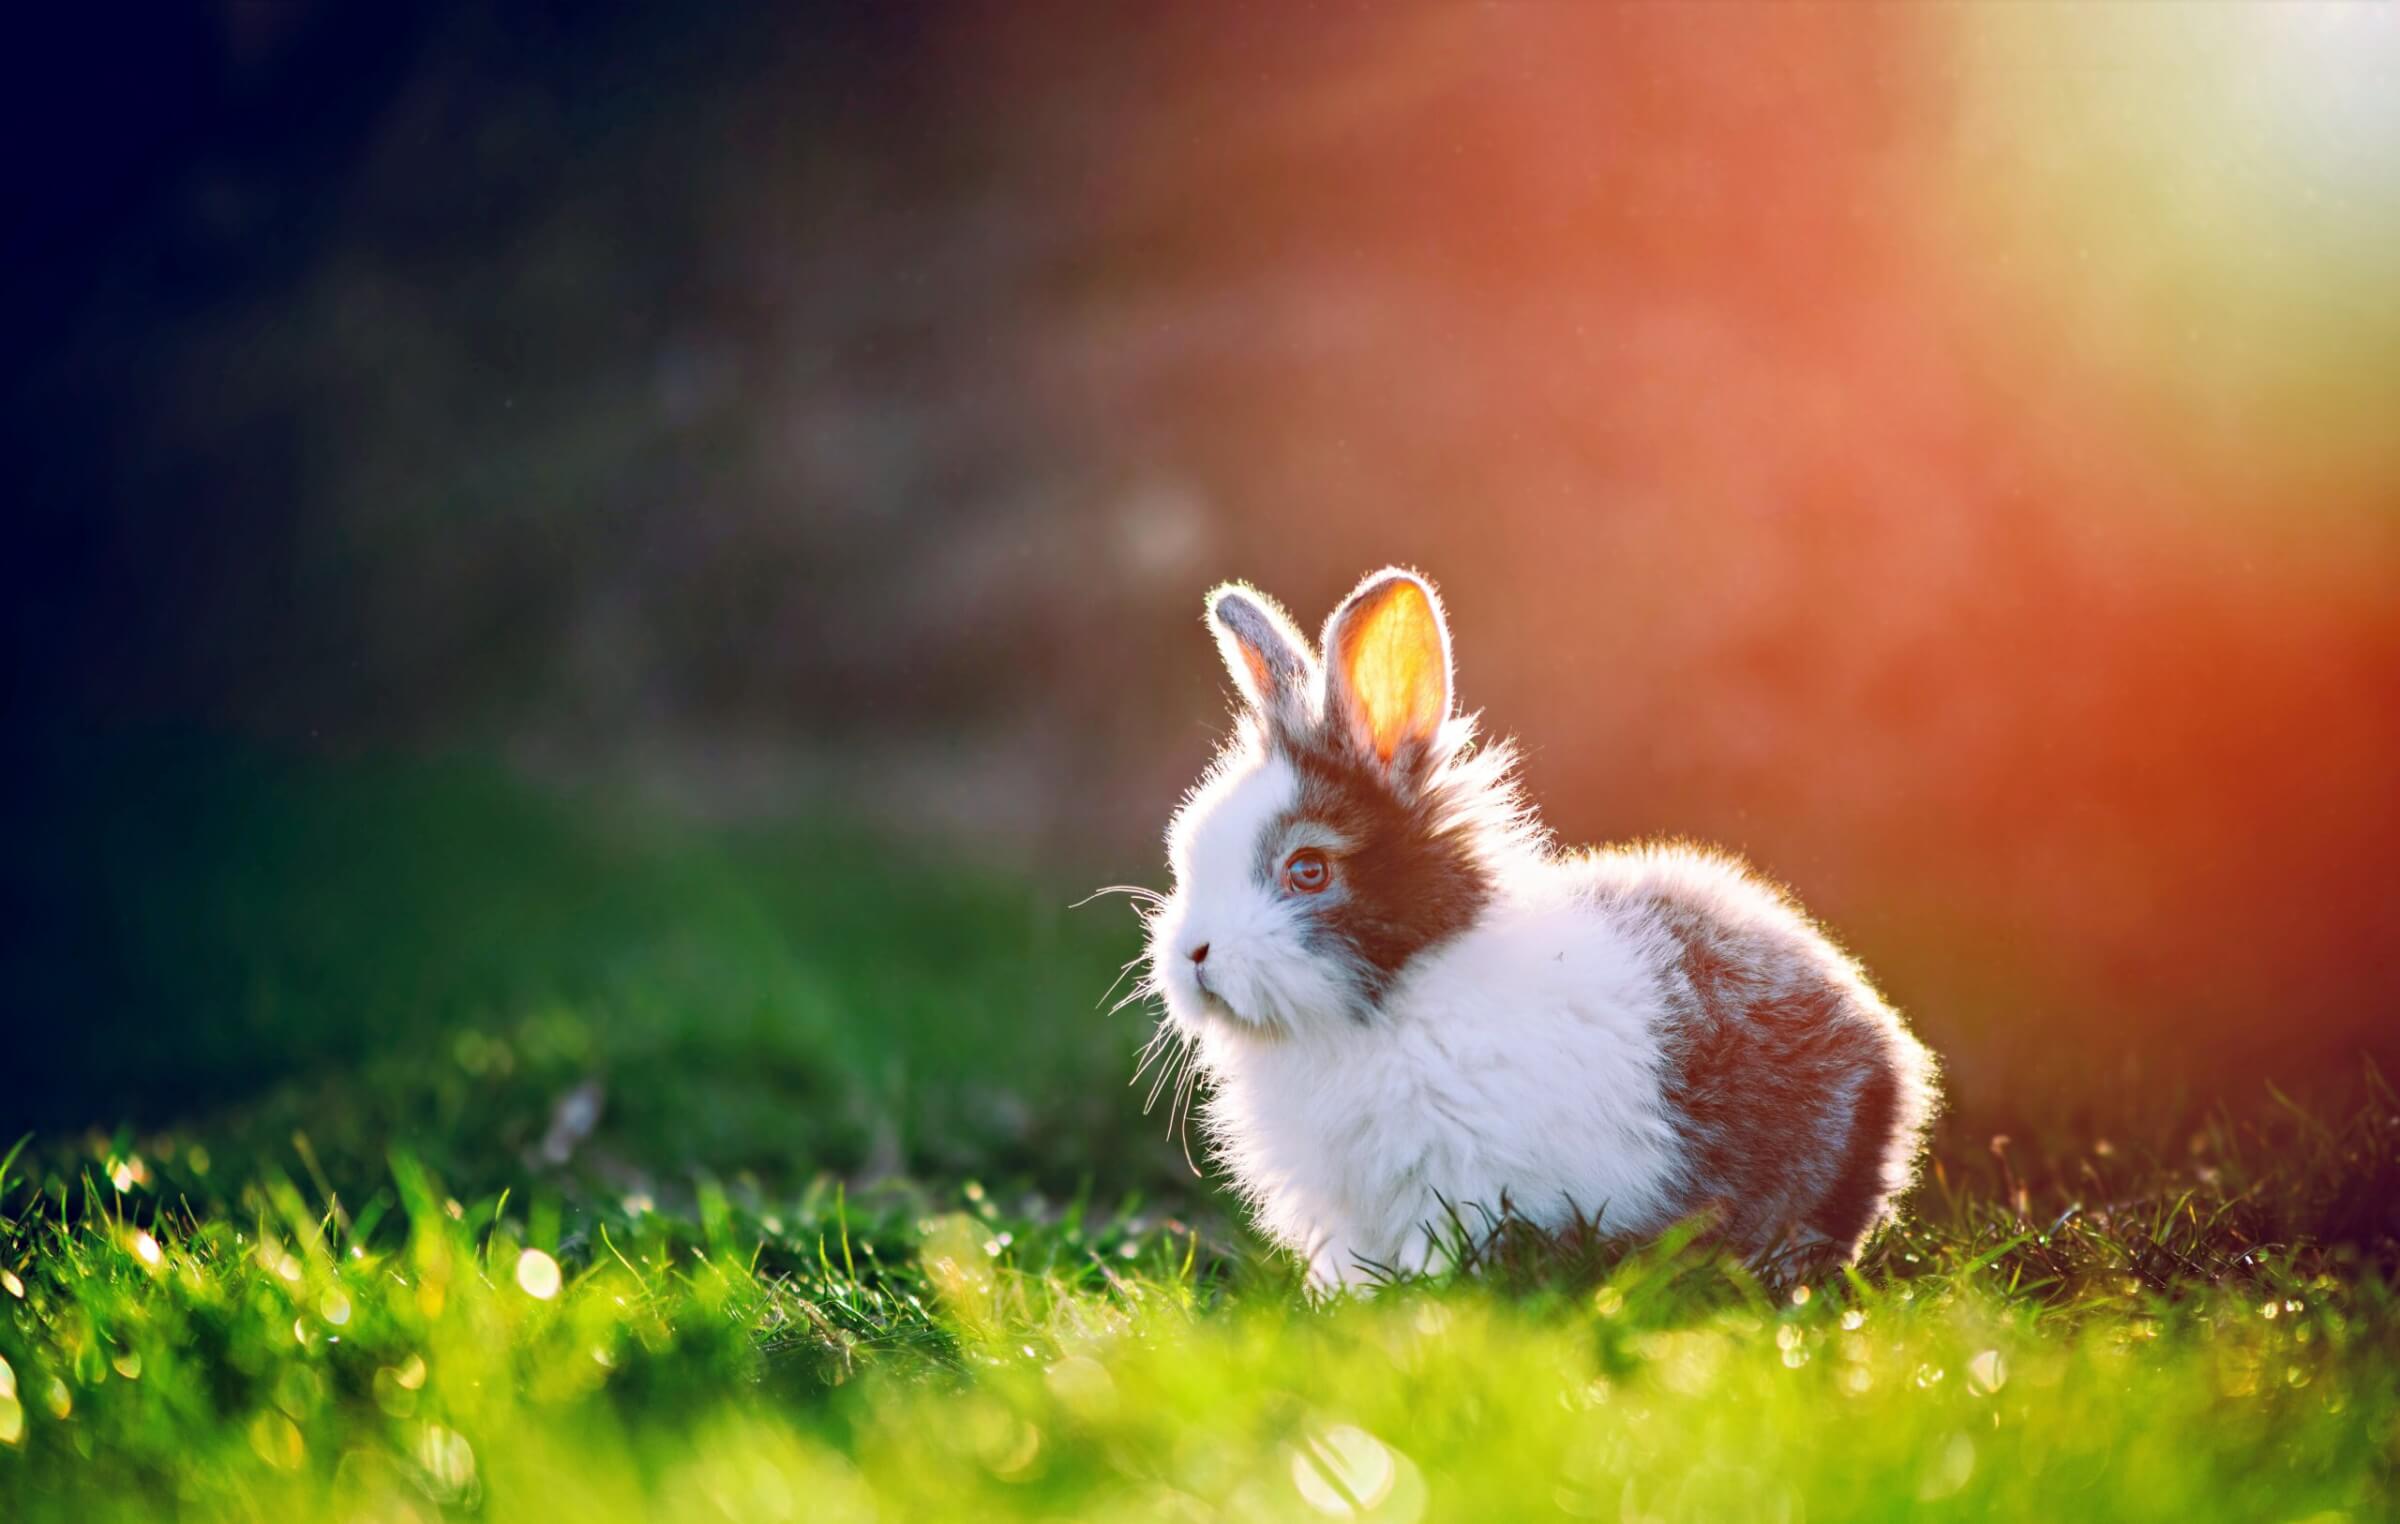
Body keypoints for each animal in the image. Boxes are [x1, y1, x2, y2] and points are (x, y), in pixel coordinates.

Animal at [1132, 566, 1939, 1296]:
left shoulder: (1458, 1182)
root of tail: (1890, 1047)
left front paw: (1416, 1306)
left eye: (1307, 870)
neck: (1388, 1002)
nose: (1193, 955)